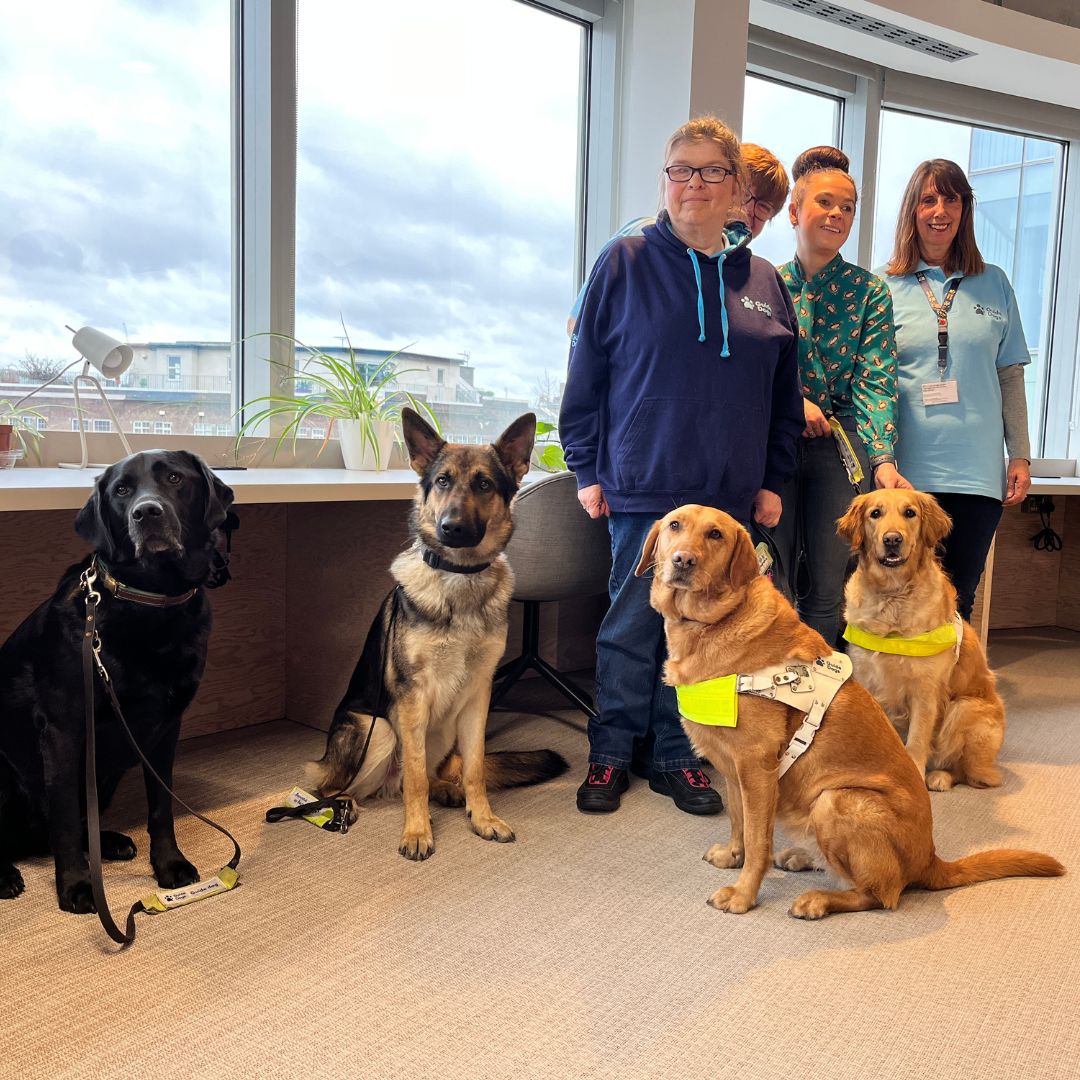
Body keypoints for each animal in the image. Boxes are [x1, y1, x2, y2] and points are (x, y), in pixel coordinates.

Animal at [306, 406, 565, 859]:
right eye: (442, 480)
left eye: (483, 484)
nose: (452, 527)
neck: (459, 579)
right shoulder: (412, 700)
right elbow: (414, 777)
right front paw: (417, 831)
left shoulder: (479, 697)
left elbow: (475, 767)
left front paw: (482, 817)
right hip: (378, 729)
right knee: (341, 786)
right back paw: (346, 804)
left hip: (442, 730)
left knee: (435, 774)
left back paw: (447, 788)